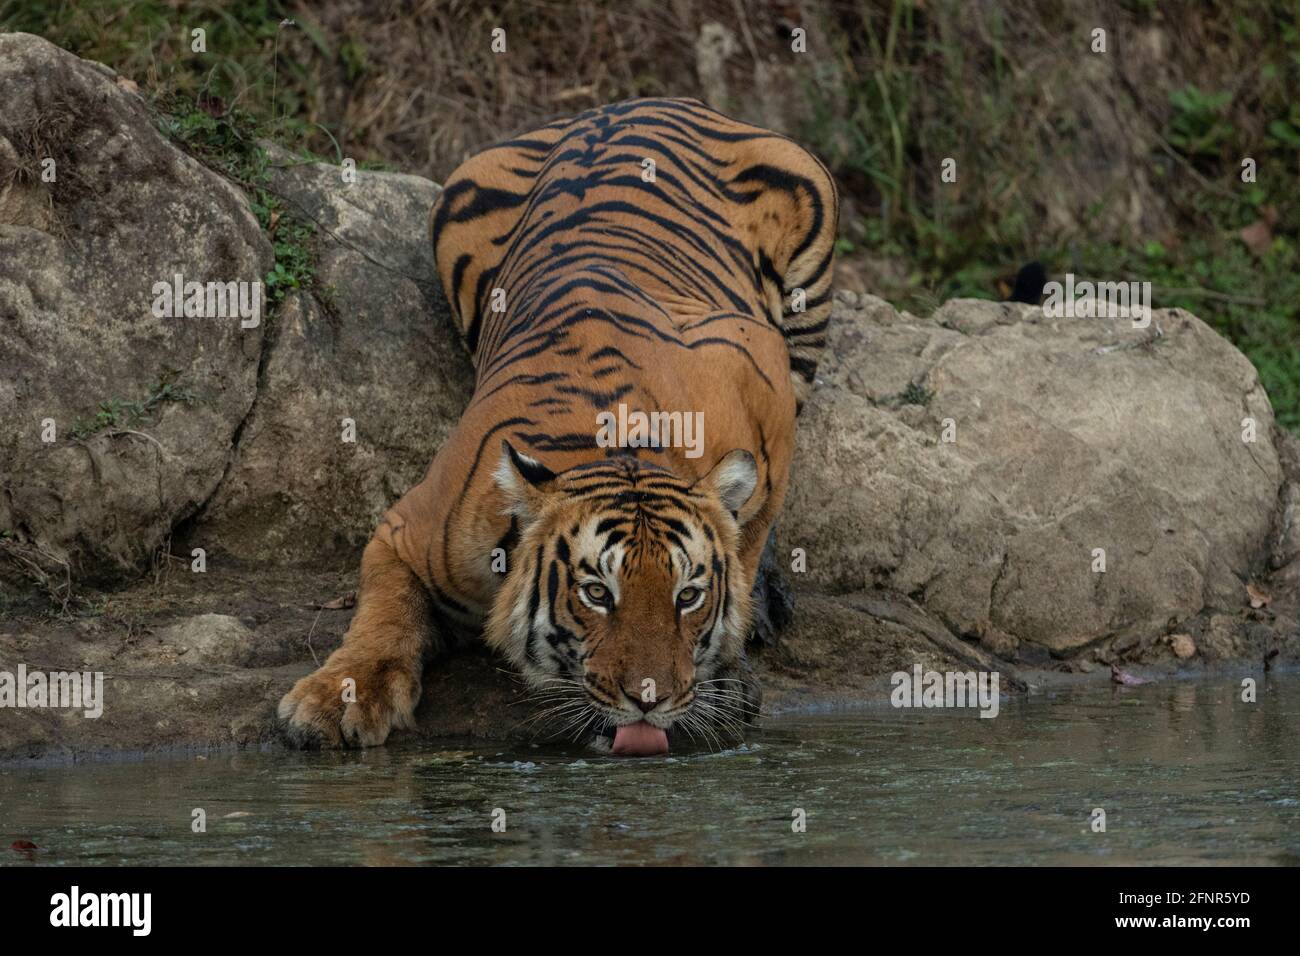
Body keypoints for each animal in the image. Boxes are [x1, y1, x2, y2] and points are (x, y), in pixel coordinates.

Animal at [279, 97, 837, 754]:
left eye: (688, 596)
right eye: (597, 593)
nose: (649, 701)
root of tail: (633, 101)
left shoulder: (758, 369)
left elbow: (747, 533)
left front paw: (730, 661)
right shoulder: (405, 533)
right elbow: (382, 617)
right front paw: (334, 700)